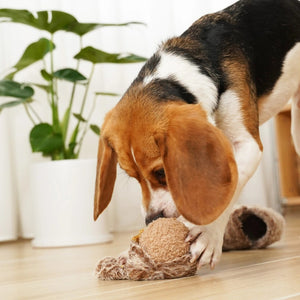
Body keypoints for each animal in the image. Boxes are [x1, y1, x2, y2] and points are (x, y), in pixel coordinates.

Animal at [94, 0, 300, 268]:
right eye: (133, 176)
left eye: (162, 172)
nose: (152, 220)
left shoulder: (246, 145)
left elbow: (228, 188)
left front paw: (207, 235)